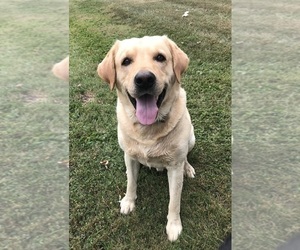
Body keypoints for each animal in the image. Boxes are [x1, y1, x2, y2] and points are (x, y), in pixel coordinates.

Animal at [98, 36, 195, 241]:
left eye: (160, 57)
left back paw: (188, 167)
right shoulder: (129, 156)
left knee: (185, 156)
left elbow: (174, 201)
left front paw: (174, 225)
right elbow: (130, 182)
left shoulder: (174, 168)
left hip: (191, 138)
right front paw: (128, 201)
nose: (144, 79)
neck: (148, 130)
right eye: (126, 61)